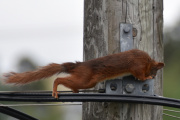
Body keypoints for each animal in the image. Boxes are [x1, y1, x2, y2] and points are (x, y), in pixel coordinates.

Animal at [2, 49, 165, 98]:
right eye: (155, 70)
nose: (155, 76)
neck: (147, 61)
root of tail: (79, 65)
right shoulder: (137, 66)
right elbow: (139, 74)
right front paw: (146, 77)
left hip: (85, 80)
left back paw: (74, 90)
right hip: (87, 80)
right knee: (59, 79)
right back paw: (56, 89)